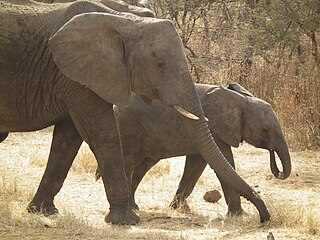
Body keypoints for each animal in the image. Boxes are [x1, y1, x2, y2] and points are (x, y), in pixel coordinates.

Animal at [100, 83, 292, 217]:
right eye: (266, 130)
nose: (264, 218)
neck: (241, 101)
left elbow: (195, 167)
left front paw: (179, 208)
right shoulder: (214, 127)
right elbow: (224, 164)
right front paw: (238, 215)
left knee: (143, 166)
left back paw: (134, 206)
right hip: (128, 128)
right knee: (130, 163)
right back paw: (130, 207)